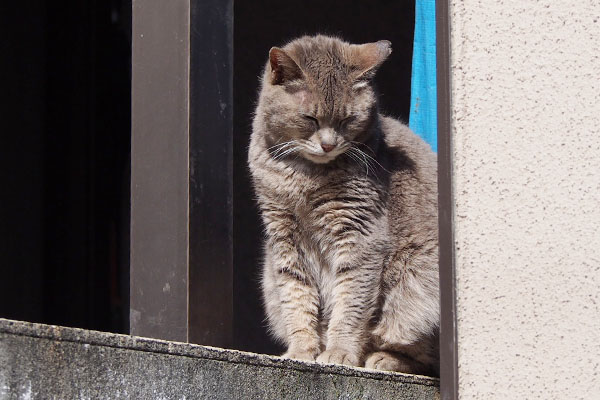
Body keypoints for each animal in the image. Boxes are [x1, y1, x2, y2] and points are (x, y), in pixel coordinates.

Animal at [248, 35, 440, 376]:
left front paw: (338, 352)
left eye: (348, 119)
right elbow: (296, 298)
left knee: (423, 356)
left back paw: (382, 359)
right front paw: (301, 350)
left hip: (417, 284)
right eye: (309, 118)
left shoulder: (360, 238)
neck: (304, 175)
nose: (328, 144)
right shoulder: (284, 238)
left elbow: (350, 303)